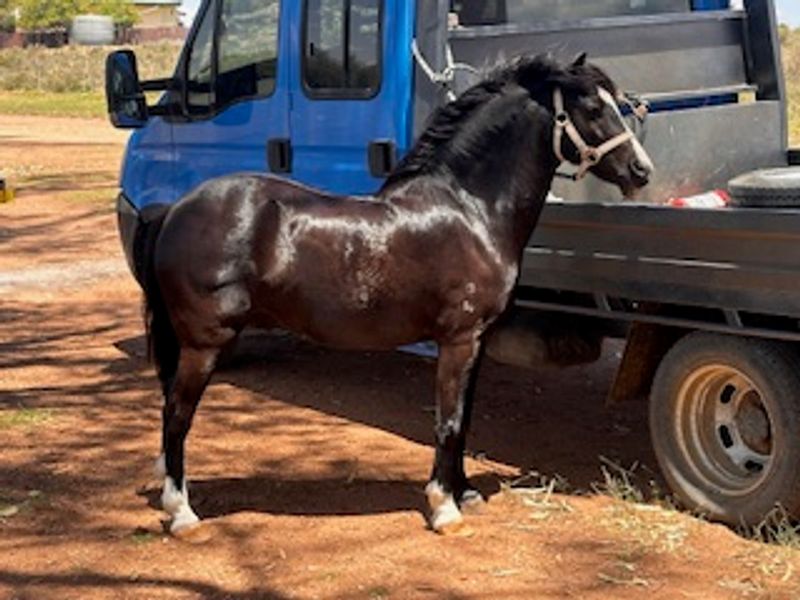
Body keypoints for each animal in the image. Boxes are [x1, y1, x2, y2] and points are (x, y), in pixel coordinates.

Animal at [141, 53, 653, 539]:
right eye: (593, 110)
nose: (641, 170)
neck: (469, 209)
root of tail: (176, 209)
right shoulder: (459, 340)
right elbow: (448, 421)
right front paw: (444, 508)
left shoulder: (477, 342)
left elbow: (464, 419)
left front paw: (464, 492)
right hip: (205, 344)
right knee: (177, 415)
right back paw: (182, 513)